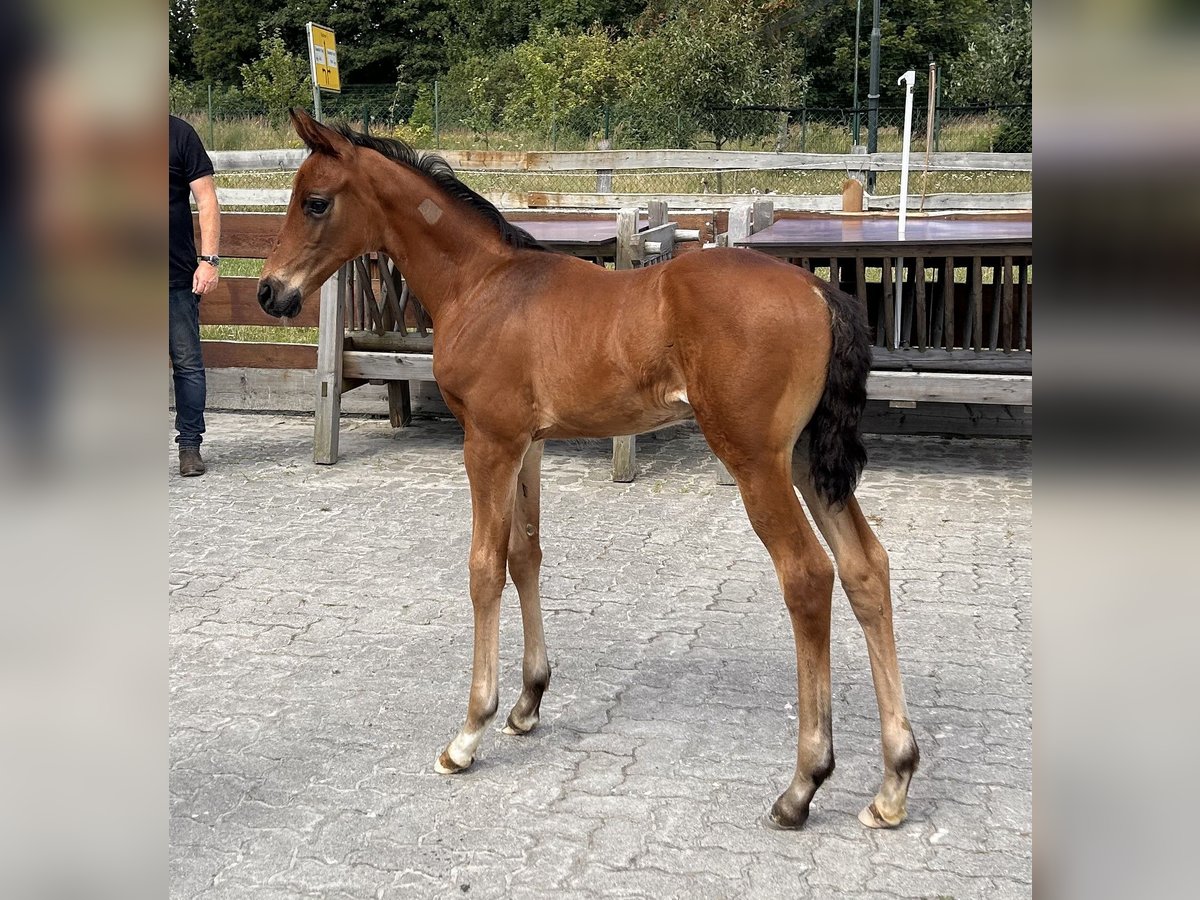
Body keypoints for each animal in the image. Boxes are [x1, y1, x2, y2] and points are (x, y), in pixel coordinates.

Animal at [260, 111, 916, 830]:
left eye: (315, 202)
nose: (269, 292)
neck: (481, 285)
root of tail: (820, 291)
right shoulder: (528, 443)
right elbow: (525, 555)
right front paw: (528, 702)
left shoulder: (486, 441)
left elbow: (484, 568)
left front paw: (468, 731)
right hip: (804, 458)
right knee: (865, 567)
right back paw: (893, 782)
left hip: (755, 459)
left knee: (807, 575)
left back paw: (802, 785)